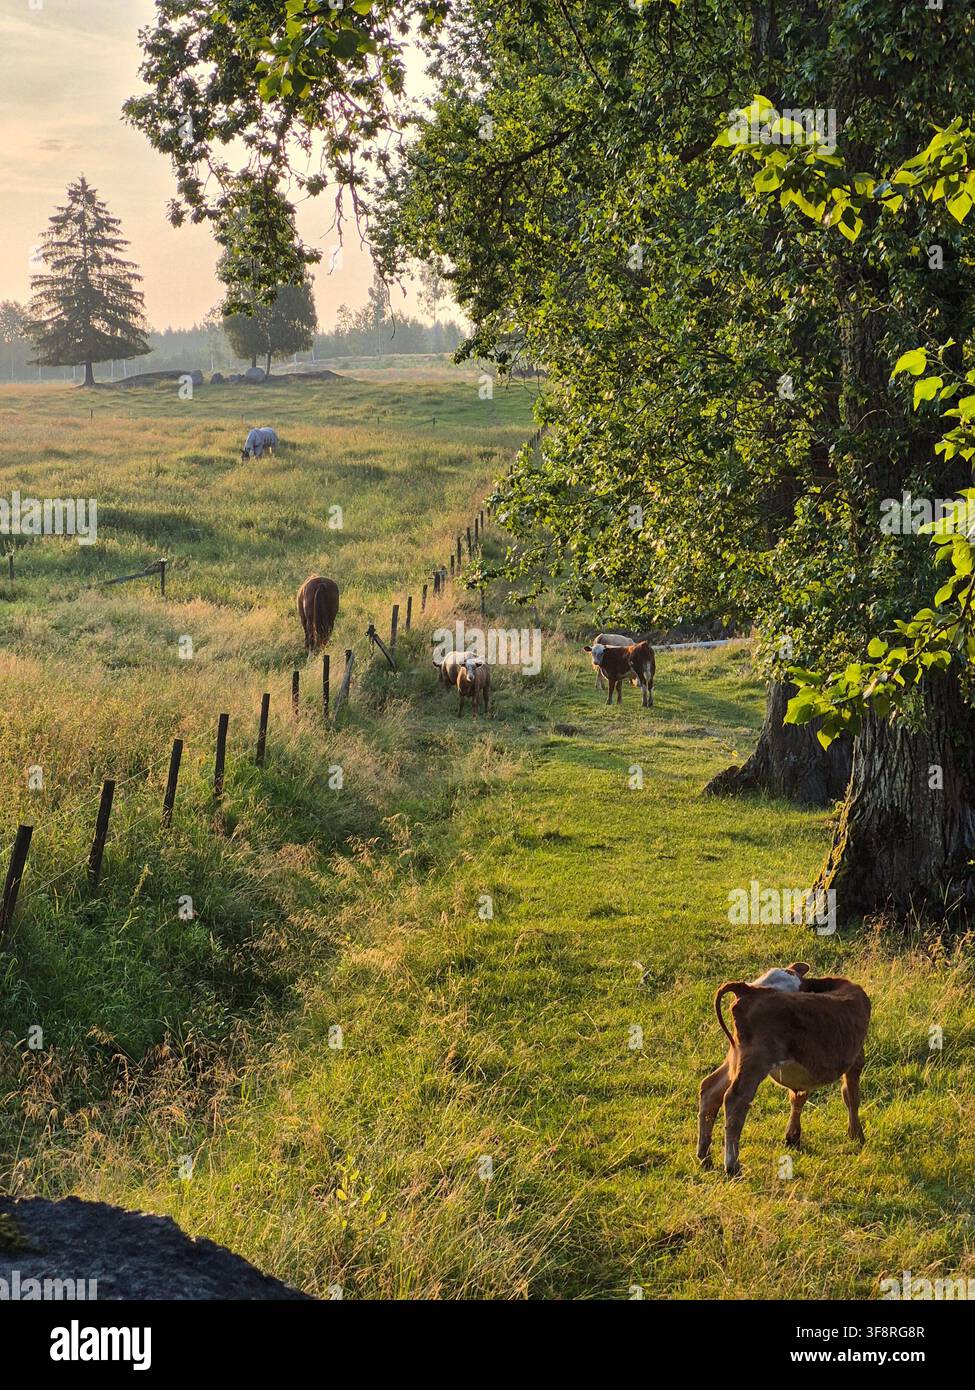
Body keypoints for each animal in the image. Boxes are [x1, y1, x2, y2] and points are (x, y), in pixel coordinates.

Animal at [697, 962, 871, 1177]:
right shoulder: (857, 1058)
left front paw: (793, 1137)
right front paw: (857, 1135)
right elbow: (851, 1097)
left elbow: (798, 1097)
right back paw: (732, 1166)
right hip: (756, 1061)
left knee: (710, 1089)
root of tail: (749, 989)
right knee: (734, 1100)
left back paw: (705, 1157)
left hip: (736, 1056)